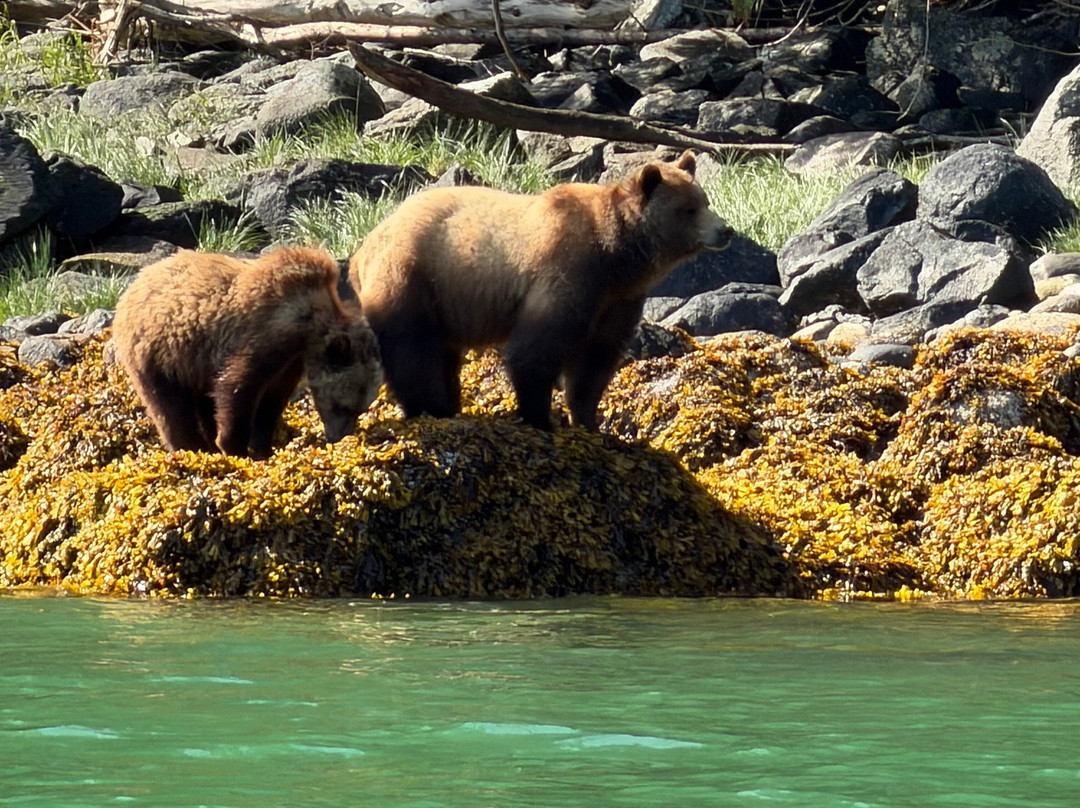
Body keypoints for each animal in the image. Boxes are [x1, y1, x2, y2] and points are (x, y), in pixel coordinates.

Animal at [112, 245, 383, 459]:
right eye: (343, 406)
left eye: (361, 408)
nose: (340, 437)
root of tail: (131, 289)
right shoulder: (263, 335)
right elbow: (238, 387)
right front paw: (233, 446)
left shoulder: (291, 361)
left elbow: (273, 399)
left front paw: (263, 446)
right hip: (158, 354)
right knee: (170, 407)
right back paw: (192, 447)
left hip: (193, 363)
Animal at [348, 149, 731, 431]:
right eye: (688, 209)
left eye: (705, 200)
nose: (725, 230)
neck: (615, 253)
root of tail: (363, 248)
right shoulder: (568, 269)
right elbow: (538, 347)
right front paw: (540, 416)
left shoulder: (618, 299)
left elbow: (596, 358)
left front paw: (587, 419)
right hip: (410, 276)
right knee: (412, 349)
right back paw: (432, 407)